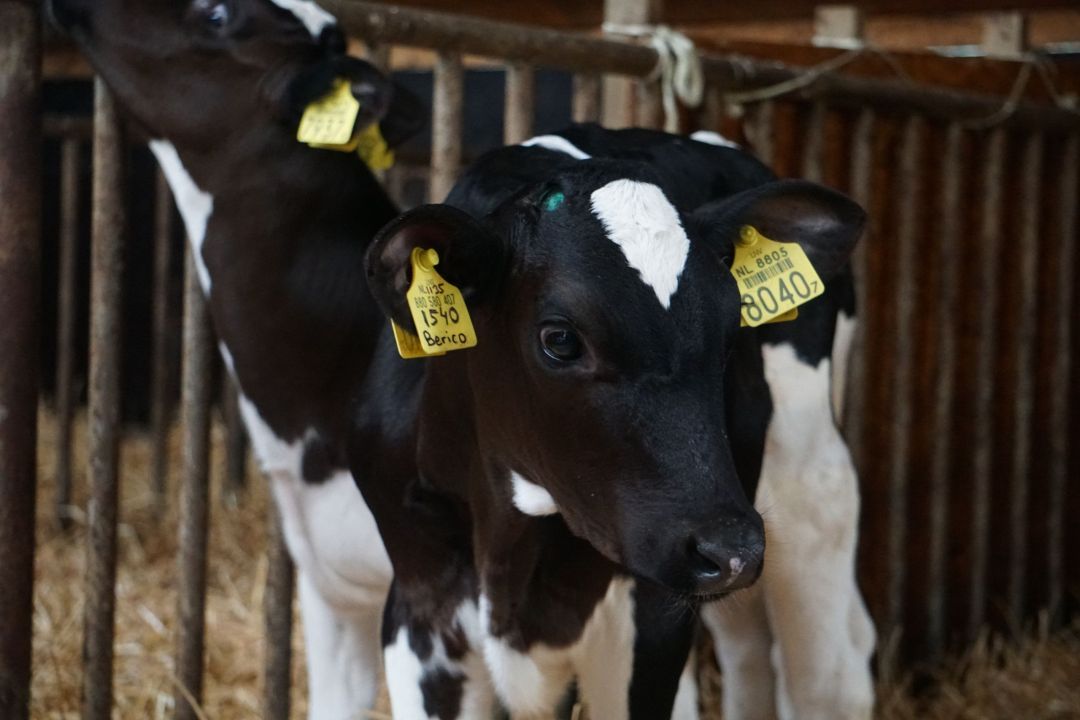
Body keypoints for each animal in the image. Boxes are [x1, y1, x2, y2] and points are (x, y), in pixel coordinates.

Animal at [358, 126, 872, 716]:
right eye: (560, 339)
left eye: (731, 334)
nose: (730, 551)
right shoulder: (421, 604)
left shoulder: (648, 621)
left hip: (810, 480)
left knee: (828, 679)